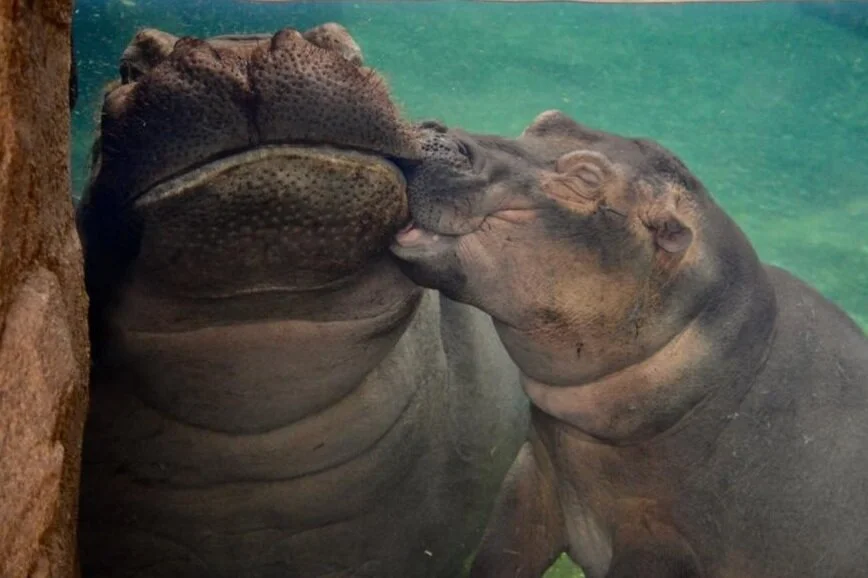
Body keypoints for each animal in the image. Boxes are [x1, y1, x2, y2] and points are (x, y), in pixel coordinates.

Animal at [390, 112, 868, 578]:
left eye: (586, 177)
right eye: (546, 120)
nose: (433, 134)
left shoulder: (660, 538)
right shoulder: (534, 478)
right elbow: (500, 553)